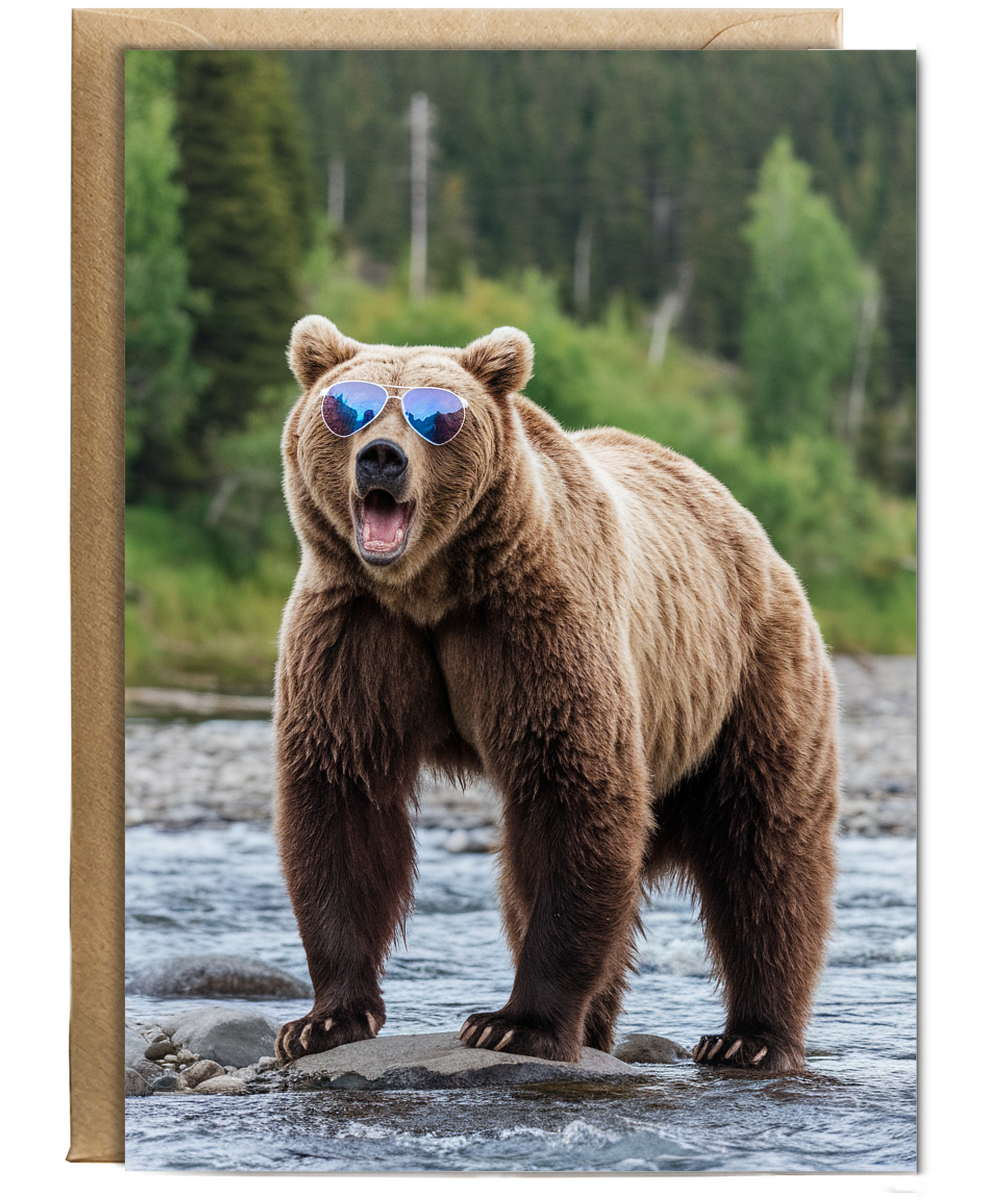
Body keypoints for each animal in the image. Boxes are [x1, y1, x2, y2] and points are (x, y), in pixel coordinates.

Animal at [272, 317, 839, 1072]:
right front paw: (323, 1020)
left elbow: (570, 791)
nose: (382, 458)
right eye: (347, 409)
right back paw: (601, 1029)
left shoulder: (536, 623)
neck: (430, 588)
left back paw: (749, 1038)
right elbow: (341, 796)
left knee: (766, 856)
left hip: (749, 682)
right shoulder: (357, 630)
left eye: (437, 417)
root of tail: (757, 533)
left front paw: (515, 1024)